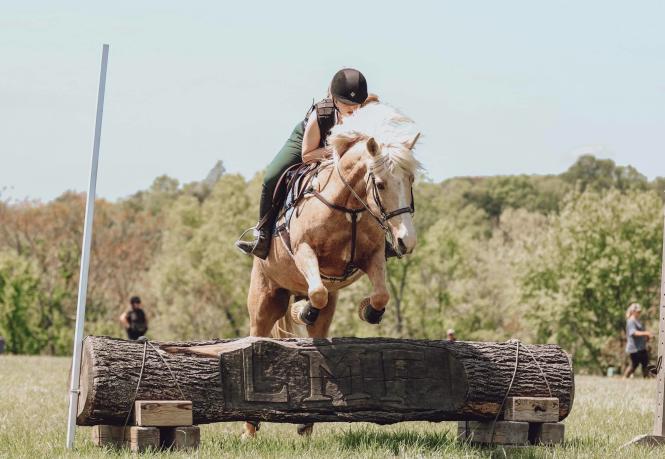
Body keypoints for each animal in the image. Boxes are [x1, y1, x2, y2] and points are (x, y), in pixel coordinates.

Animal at [244, 104, 420, 438]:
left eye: (411, 180)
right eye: (380, 184)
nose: (407, 241)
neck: (348, 205)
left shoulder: (373, 256)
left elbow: (380, 294)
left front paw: (369, 311)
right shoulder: (304, 251)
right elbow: (317, 290)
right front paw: (302, 310)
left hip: (322, 315)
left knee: (318, 330)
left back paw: (305, 424)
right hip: (265, 295)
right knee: (256, 335)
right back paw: (249, 428)